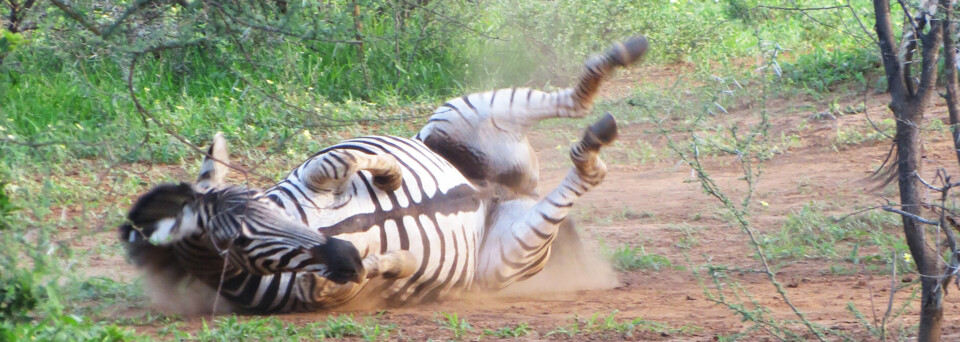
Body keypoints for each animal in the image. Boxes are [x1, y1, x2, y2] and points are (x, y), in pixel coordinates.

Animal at [118, 35, 644, 312]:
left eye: (264, 203)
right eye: (233, 244)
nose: (341, 251)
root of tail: (499, 190)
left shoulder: (308, 178)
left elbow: (337, 158)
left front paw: (389, 175)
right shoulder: (327, 288)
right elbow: (375, 268)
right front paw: (402, 265)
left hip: (456, 117)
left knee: (574, 102)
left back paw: (619, 58)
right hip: (507, 256)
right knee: (585, 171)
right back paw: (592, 146)